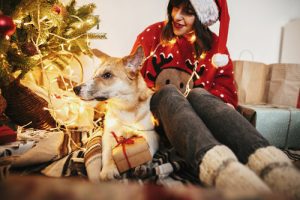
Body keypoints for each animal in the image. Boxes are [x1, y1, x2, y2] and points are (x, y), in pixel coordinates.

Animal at [73, 47, 159, 181]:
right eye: (94, 75)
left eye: (107, 75)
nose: (75, 89)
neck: (125, 107)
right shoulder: (108, 135)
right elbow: (108, 154)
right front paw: (108, 169)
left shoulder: (152, 134)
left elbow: (148, 147)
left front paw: (142, 165)